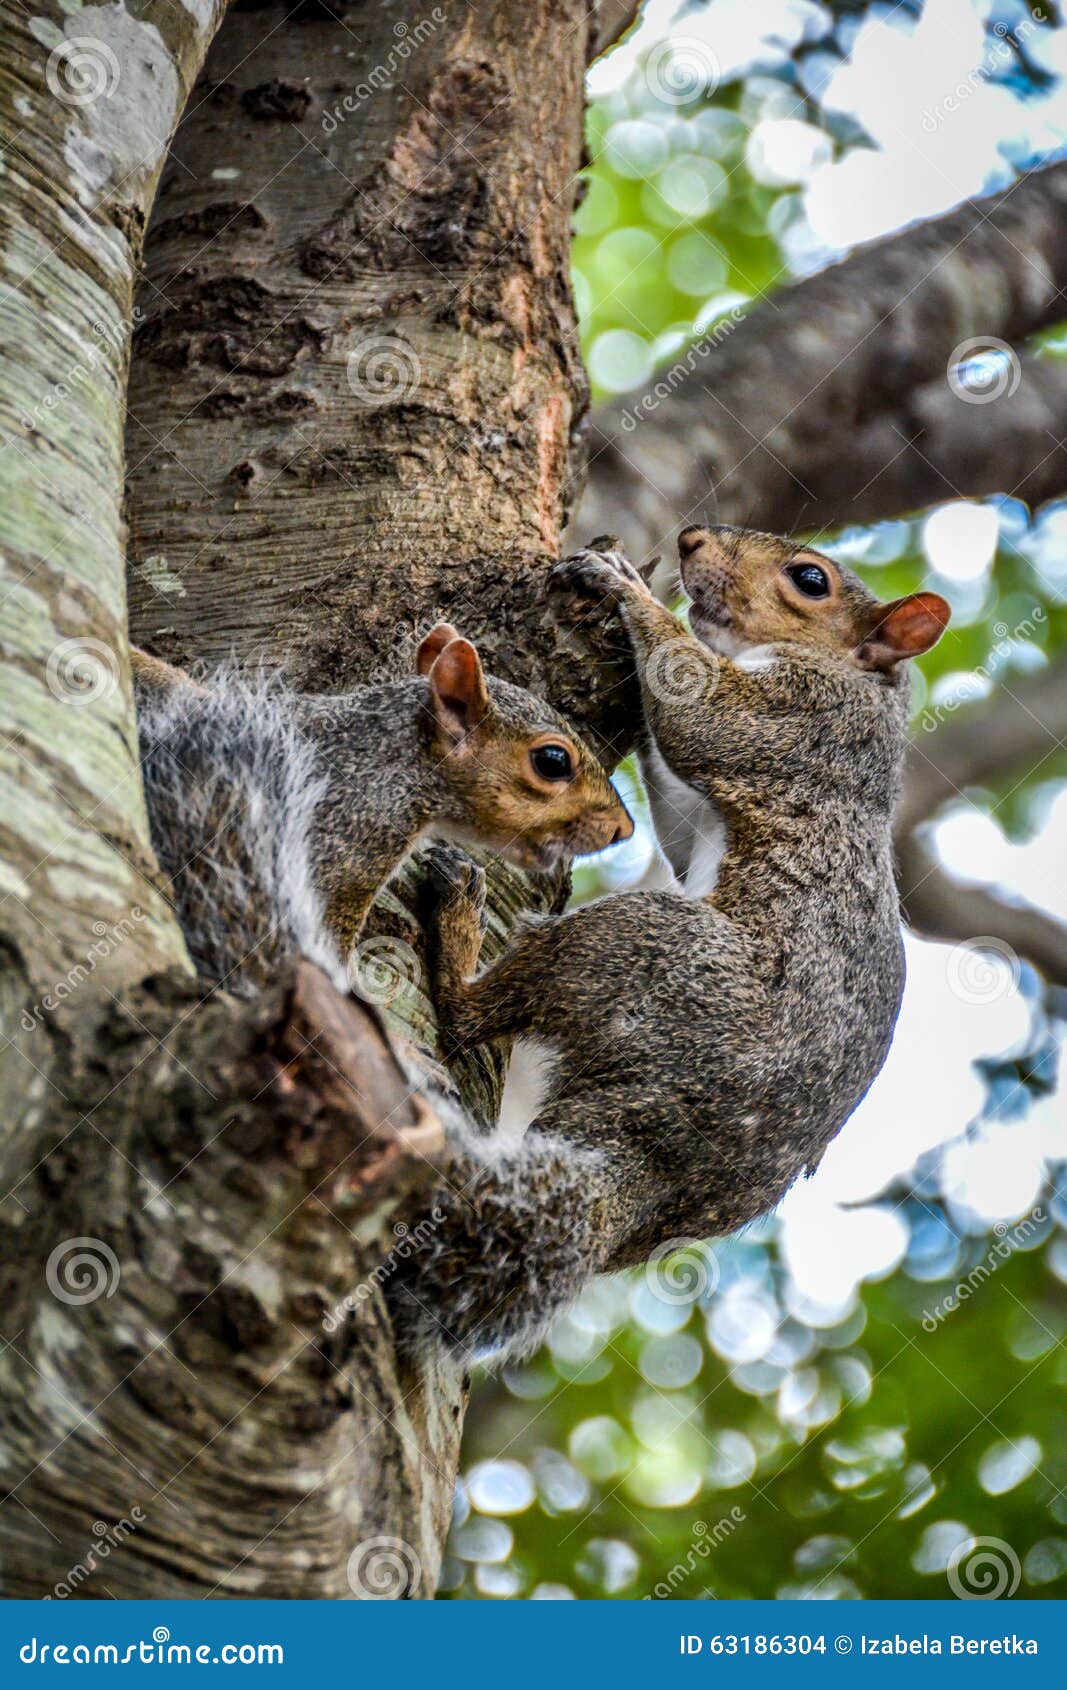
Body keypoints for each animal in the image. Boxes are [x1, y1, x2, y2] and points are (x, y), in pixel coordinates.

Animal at [383, 530, 950, 1362]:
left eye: (810, 579)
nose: (690, 539)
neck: (859, 677)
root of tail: (658, 1159)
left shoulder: (806, 718)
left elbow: (699, 714)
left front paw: (628, 587)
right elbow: (679, 798)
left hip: (653, 950)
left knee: (466, 1016)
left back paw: (456, 925)